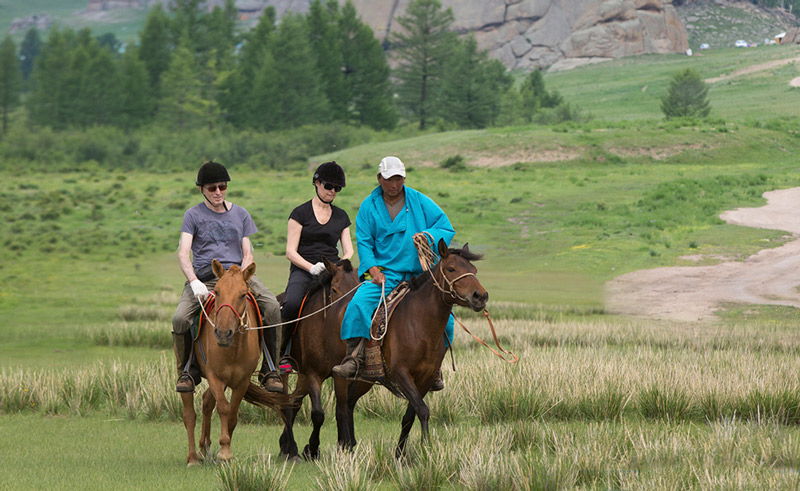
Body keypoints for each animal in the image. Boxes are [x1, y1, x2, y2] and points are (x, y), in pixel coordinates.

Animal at [181, 260, 290, 468]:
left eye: (242, 294)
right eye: (217, 291)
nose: (223, 333)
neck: (234, 348)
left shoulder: (242, 381)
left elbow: (232, 414)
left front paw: (225, 450)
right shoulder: (215, 376)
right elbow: (224, 408)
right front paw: (224, 451)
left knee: (207, 401)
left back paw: (204, 448)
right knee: (190, 414)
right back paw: (192, 458)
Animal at [278, 258, 360, 462]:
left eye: (358, 288)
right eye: (334, 290)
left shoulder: (339, 375)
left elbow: (342, 410)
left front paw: (345, 447)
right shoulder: (313, 374)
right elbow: (318, 414)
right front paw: (312, 449)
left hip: (302, 376)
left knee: (294, 402)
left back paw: (285, 445)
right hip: (286, 372)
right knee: (285, 403)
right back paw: (291, 449)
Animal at [338, 240, 488, 460]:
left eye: (474, 270)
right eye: (451, 269)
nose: (481, 296)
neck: (420, 325)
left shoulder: (425, 377)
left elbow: (411, 415)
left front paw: (400, 454)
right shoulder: (401, 373)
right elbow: (423, 410)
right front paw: (427, 449)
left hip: (366, 379)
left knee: (349, 401)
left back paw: (350, 444)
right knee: (346, 403)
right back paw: (348, 446)